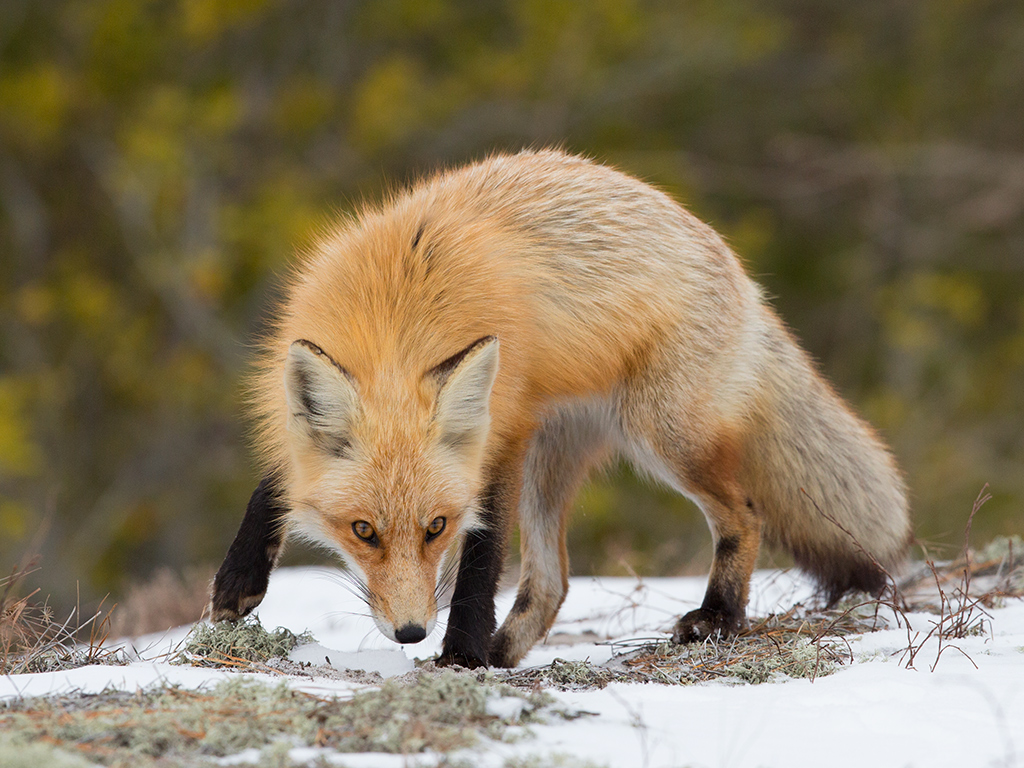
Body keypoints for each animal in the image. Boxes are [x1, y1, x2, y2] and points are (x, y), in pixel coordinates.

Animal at [210, 149, 911, 668]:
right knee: (554, 583)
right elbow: (274, 481)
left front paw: (461, 654)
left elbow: (481, 559)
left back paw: (716, 618)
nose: (411, 633)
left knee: (745, 513)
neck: (397, 319)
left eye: (436, 527)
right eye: (363, 531)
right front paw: (237, 581)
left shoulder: (500, 434)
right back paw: (505, 652)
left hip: (657, 437)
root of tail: (743, 277)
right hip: (553, 460)